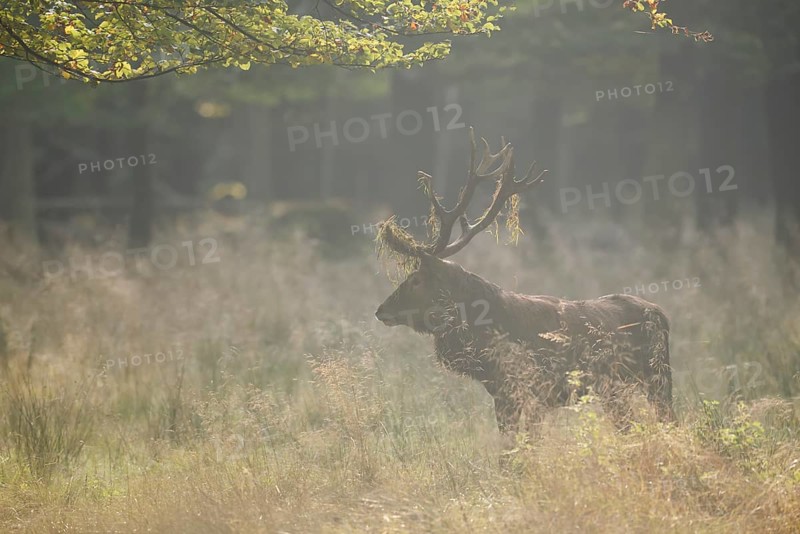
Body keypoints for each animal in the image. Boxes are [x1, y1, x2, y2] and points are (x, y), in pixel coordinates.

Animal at [375, 128, 673, 433]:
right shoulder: (503, 396)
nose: (381, 310)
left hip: (655, 377)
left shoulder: (531, 390)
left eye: (416, 280)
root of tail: (660, 314)